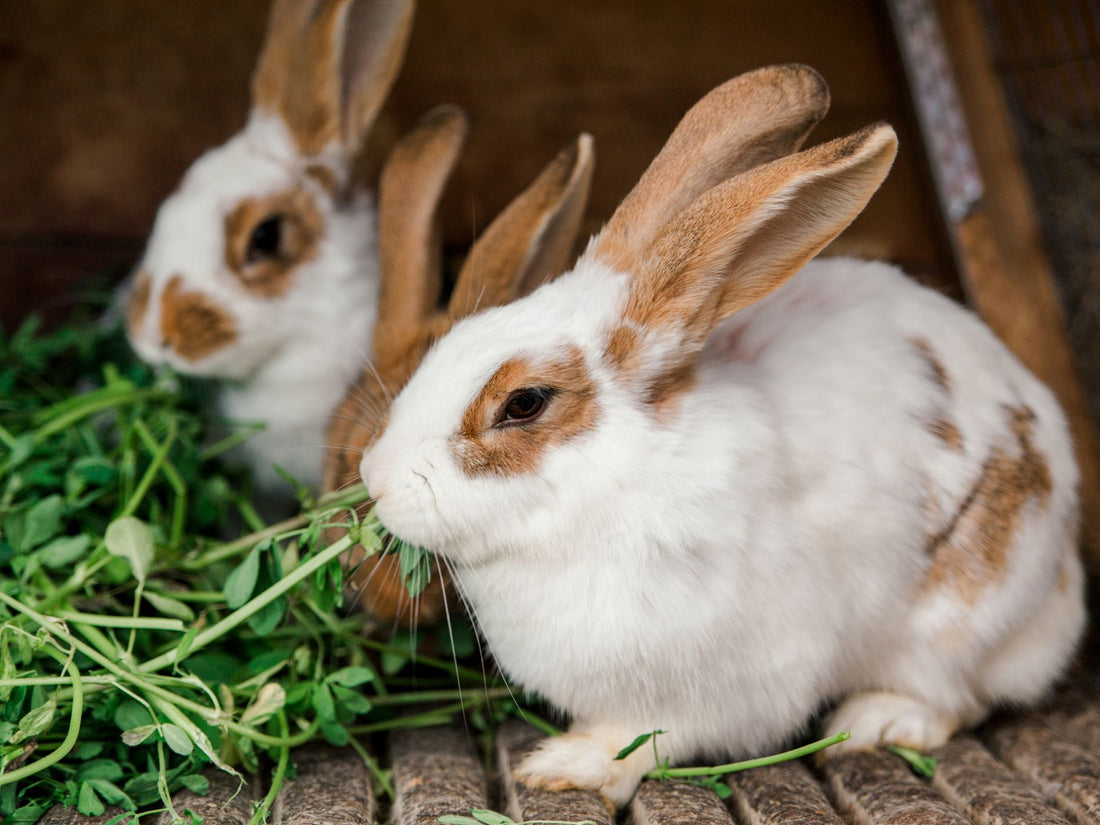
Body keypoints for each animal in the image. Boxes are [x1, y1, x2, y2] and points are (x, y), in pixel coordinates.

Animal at [356, 66, 1086, 809]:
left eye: (523, 403)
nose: (374, 477)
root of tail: (1065, 589)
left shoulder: (732, 680)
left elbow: (650, 736)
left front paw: (568, 764)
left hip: (958, 617)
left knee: (959, 695)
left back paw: (877, 720)